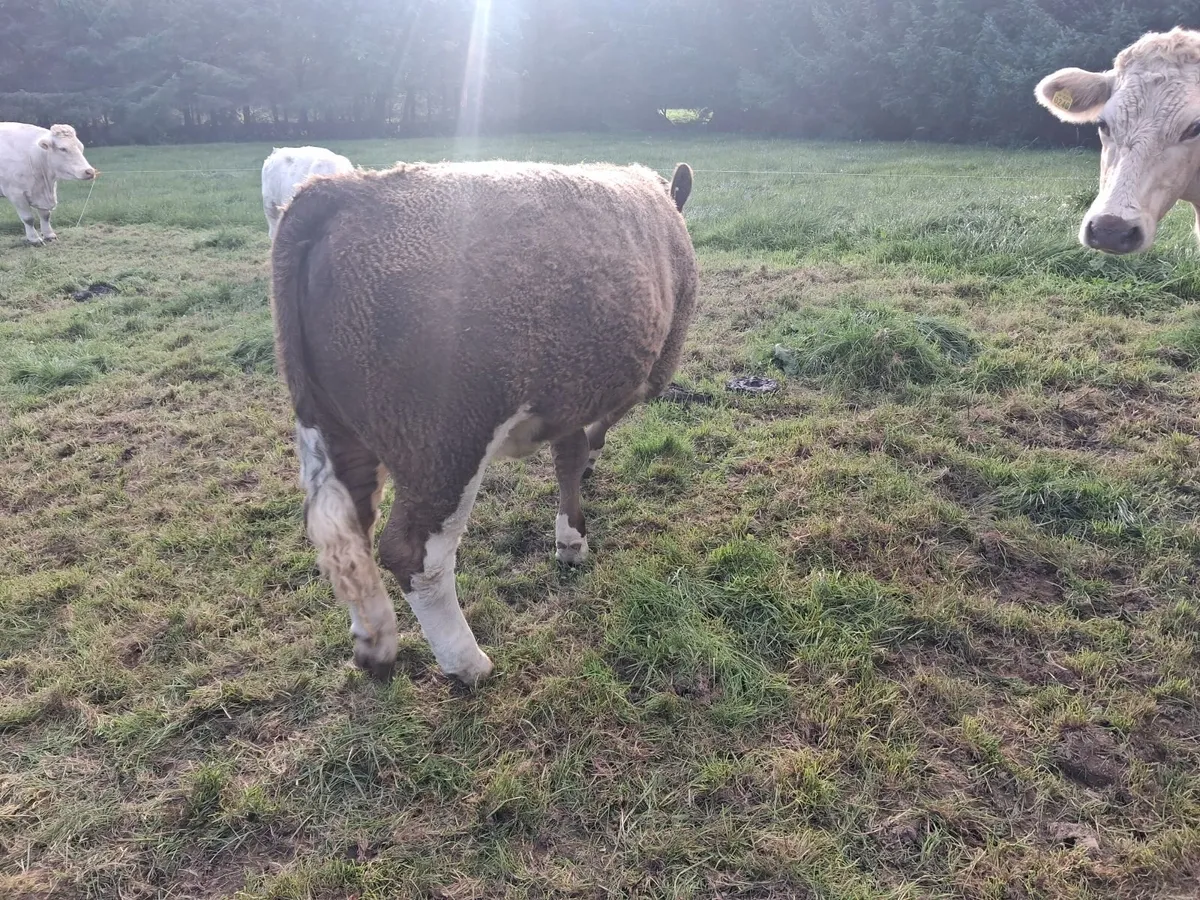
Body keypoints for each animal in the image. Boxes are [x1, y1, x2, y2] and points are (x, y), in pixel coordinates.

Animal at [270, 159, 698, 687]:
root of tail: (342, 191)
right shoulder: (650, 370)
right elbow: (596, 433)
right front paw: (584, 493)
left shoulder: (568, 391)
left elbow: (568, 455)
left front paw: (570, 537)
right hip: (444, 445)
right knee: (414, 553)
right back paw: (467, 663)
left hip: (337, 432)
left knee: (347, 534)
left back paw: (376, 644)